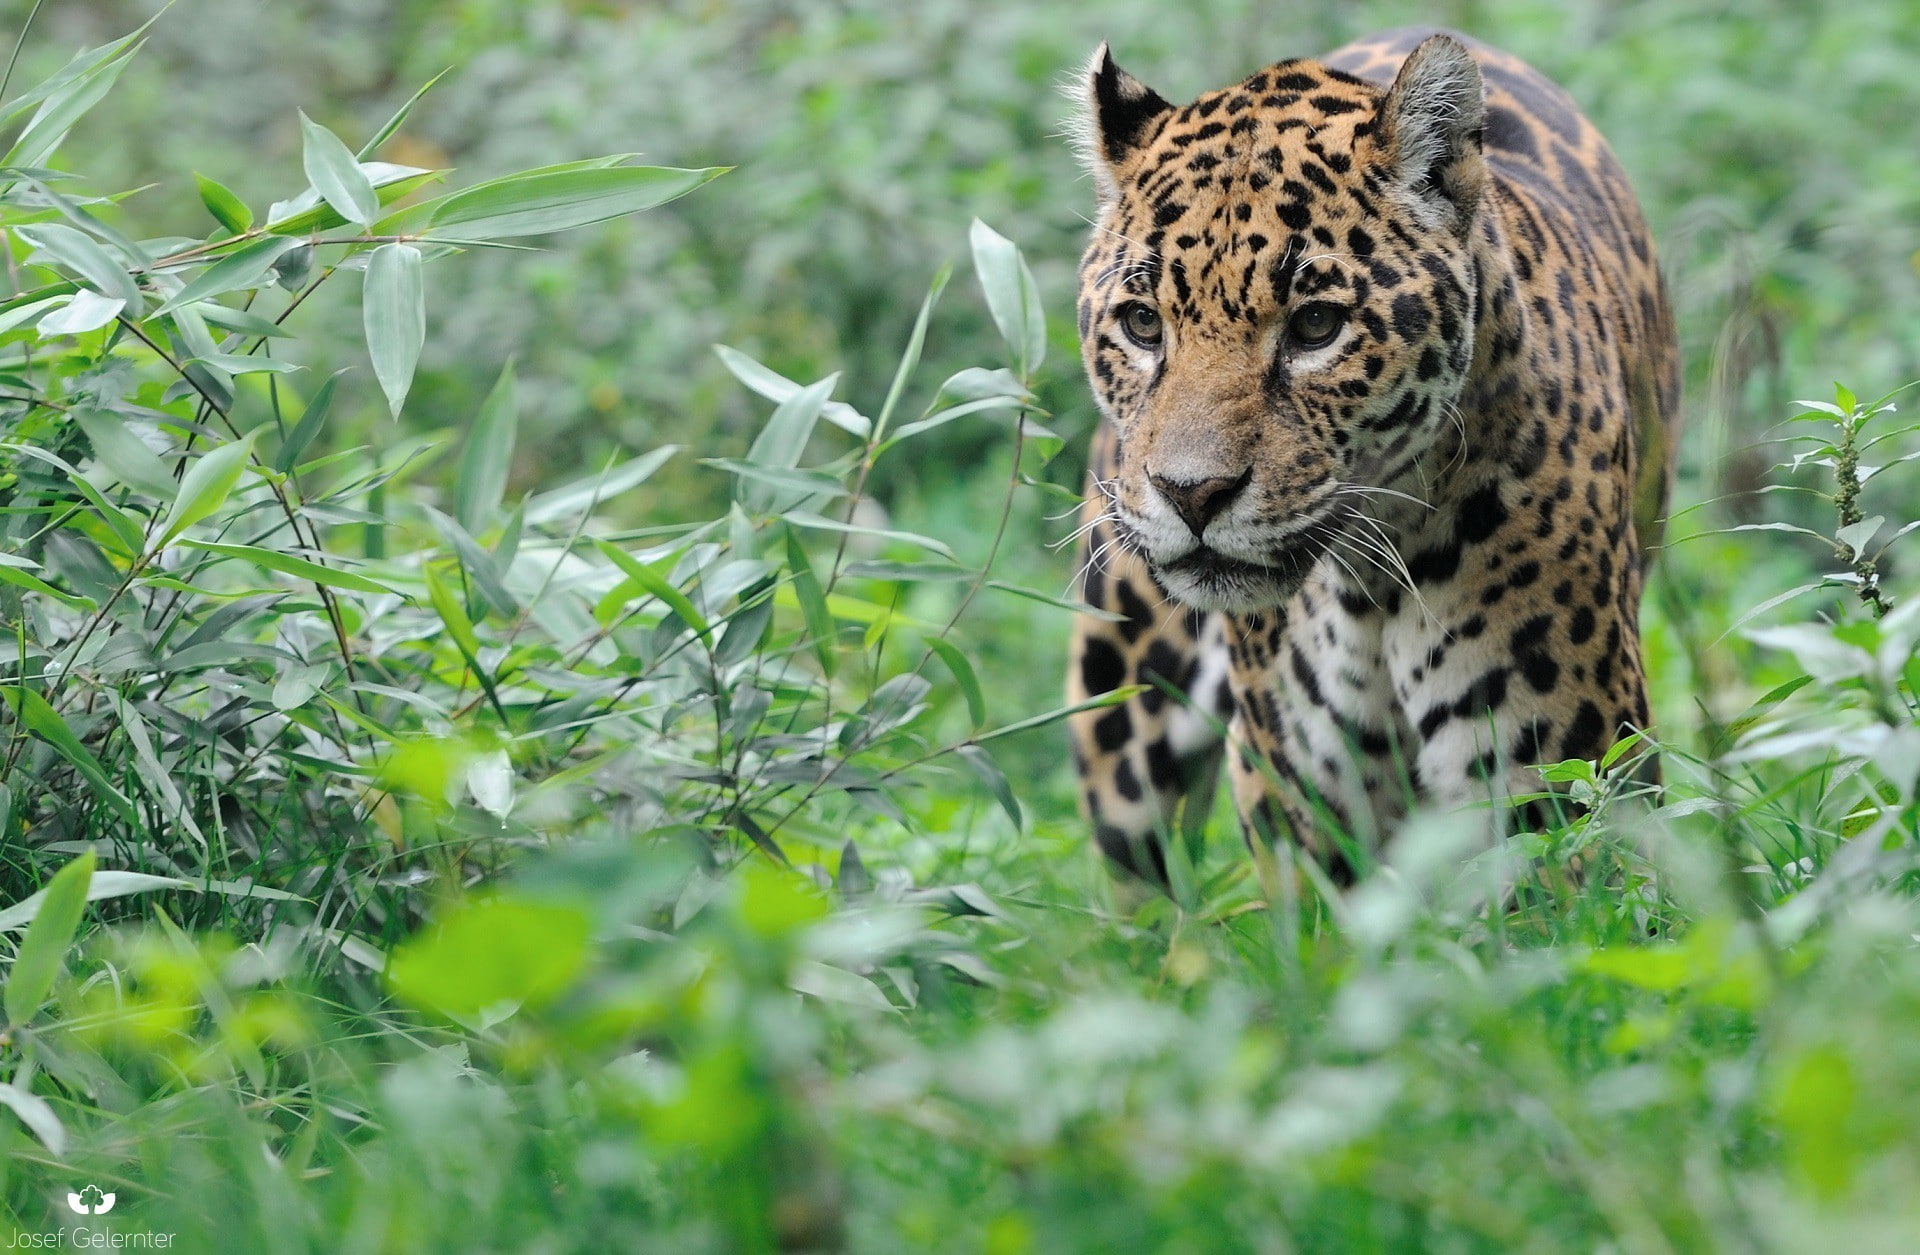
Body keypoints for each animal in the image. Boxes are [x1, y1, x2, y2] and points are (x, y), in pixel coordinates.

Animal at [1062, 28, 1681, 886]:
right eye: (1143, 324)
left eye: (1317, 326)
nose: (1192, 494)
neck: (1370, 584)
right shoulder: (1298, 802)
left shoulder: (1566, 780)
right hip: (1122, 712)